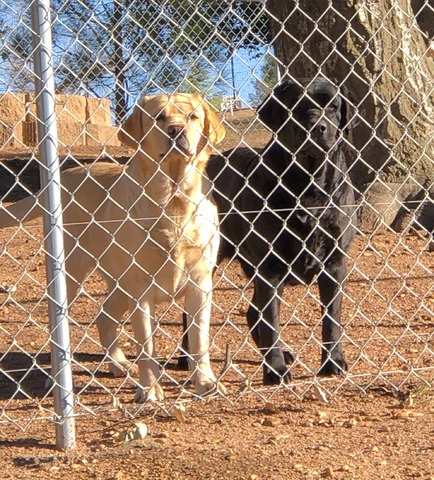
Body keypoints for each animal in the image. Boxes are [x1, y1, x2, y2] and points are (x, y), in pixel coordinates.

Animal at [0, 94, 227, 402]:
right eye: (159, 117)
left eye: (192, 116)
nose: (176, 131)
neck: (173, 199)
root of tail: (66, 176)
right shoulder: (141, 287)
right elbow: (146, 345)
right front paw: (150, 389)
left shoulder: (200, 283)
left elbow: (199, 339)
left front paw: (205, 383)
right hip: (72, 275)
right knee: (60, 329)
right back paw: (58, 379)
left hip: (119, 283)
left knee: (104, 317)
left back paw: (118, 363)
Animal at [181, 79, 358, 386]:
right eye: (295, 106)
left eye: (333, 106)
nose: (317, 126)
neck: (309, 186)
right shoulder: (270, 267)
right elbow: (271, 320)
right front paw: (275, 369)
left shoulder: (335, 263)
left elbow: (331, 318)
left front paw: (333, 361)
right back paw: (185, 357)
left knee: (253, 312)